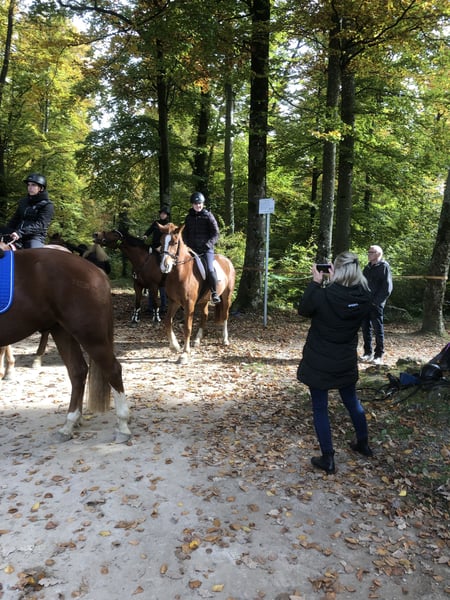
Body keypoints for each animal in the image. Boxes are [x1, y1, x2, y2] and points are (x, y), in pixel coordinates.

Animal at [0, 245, 131, 443]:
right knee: (78, 371)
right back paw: (69, 424)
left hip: (89, 335)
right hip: (63, 331)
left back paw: (122, 426)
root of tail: (95, 270)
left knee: (112, 370)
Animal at [158, 223, 236, 364]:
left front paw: (184, 354)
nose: (164, 266)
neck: (181, 273)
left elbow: (187, 327)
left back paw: (225, 339)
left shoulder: (189, 304)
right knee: (204, 315)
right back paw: (197, 340)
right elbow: (167, 321)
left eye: (175, 242)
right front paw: (174, 346)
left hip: (227, 296)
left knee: (225, 316)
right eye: (161, 241)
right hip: (204, 300)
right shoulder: (174, 302)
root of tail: (227, 261)